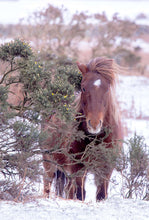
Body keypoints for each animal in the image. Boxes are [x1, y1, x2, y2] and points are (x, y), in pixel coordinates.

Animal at [41, 57, 122, 201]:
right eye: (83, 88)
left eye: (107, 89)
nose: (94, 123)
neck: (95, 139)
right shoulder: (77, 167)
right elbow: (80, 194)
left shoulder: (106, 169)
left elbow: (101, 195)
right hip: (49, 162)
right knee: (47, 184)